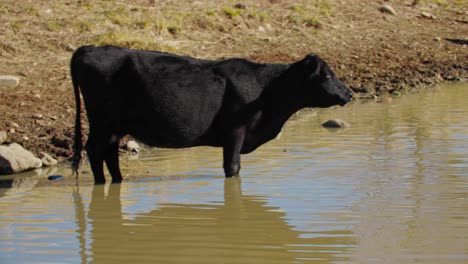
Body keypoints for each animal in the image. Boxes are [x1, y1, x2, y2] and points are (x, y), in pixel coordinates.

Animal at [71, 45, 352, 184]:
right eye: (328, 75)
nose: (349, 93)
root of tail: (88, 48)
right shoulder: (235, 132)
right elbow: (233, 167)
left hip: (114, 126)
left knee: (108, 153)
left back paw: (117, 181)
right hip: (102, 121)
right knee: (95, 151)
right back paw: (102, 183)